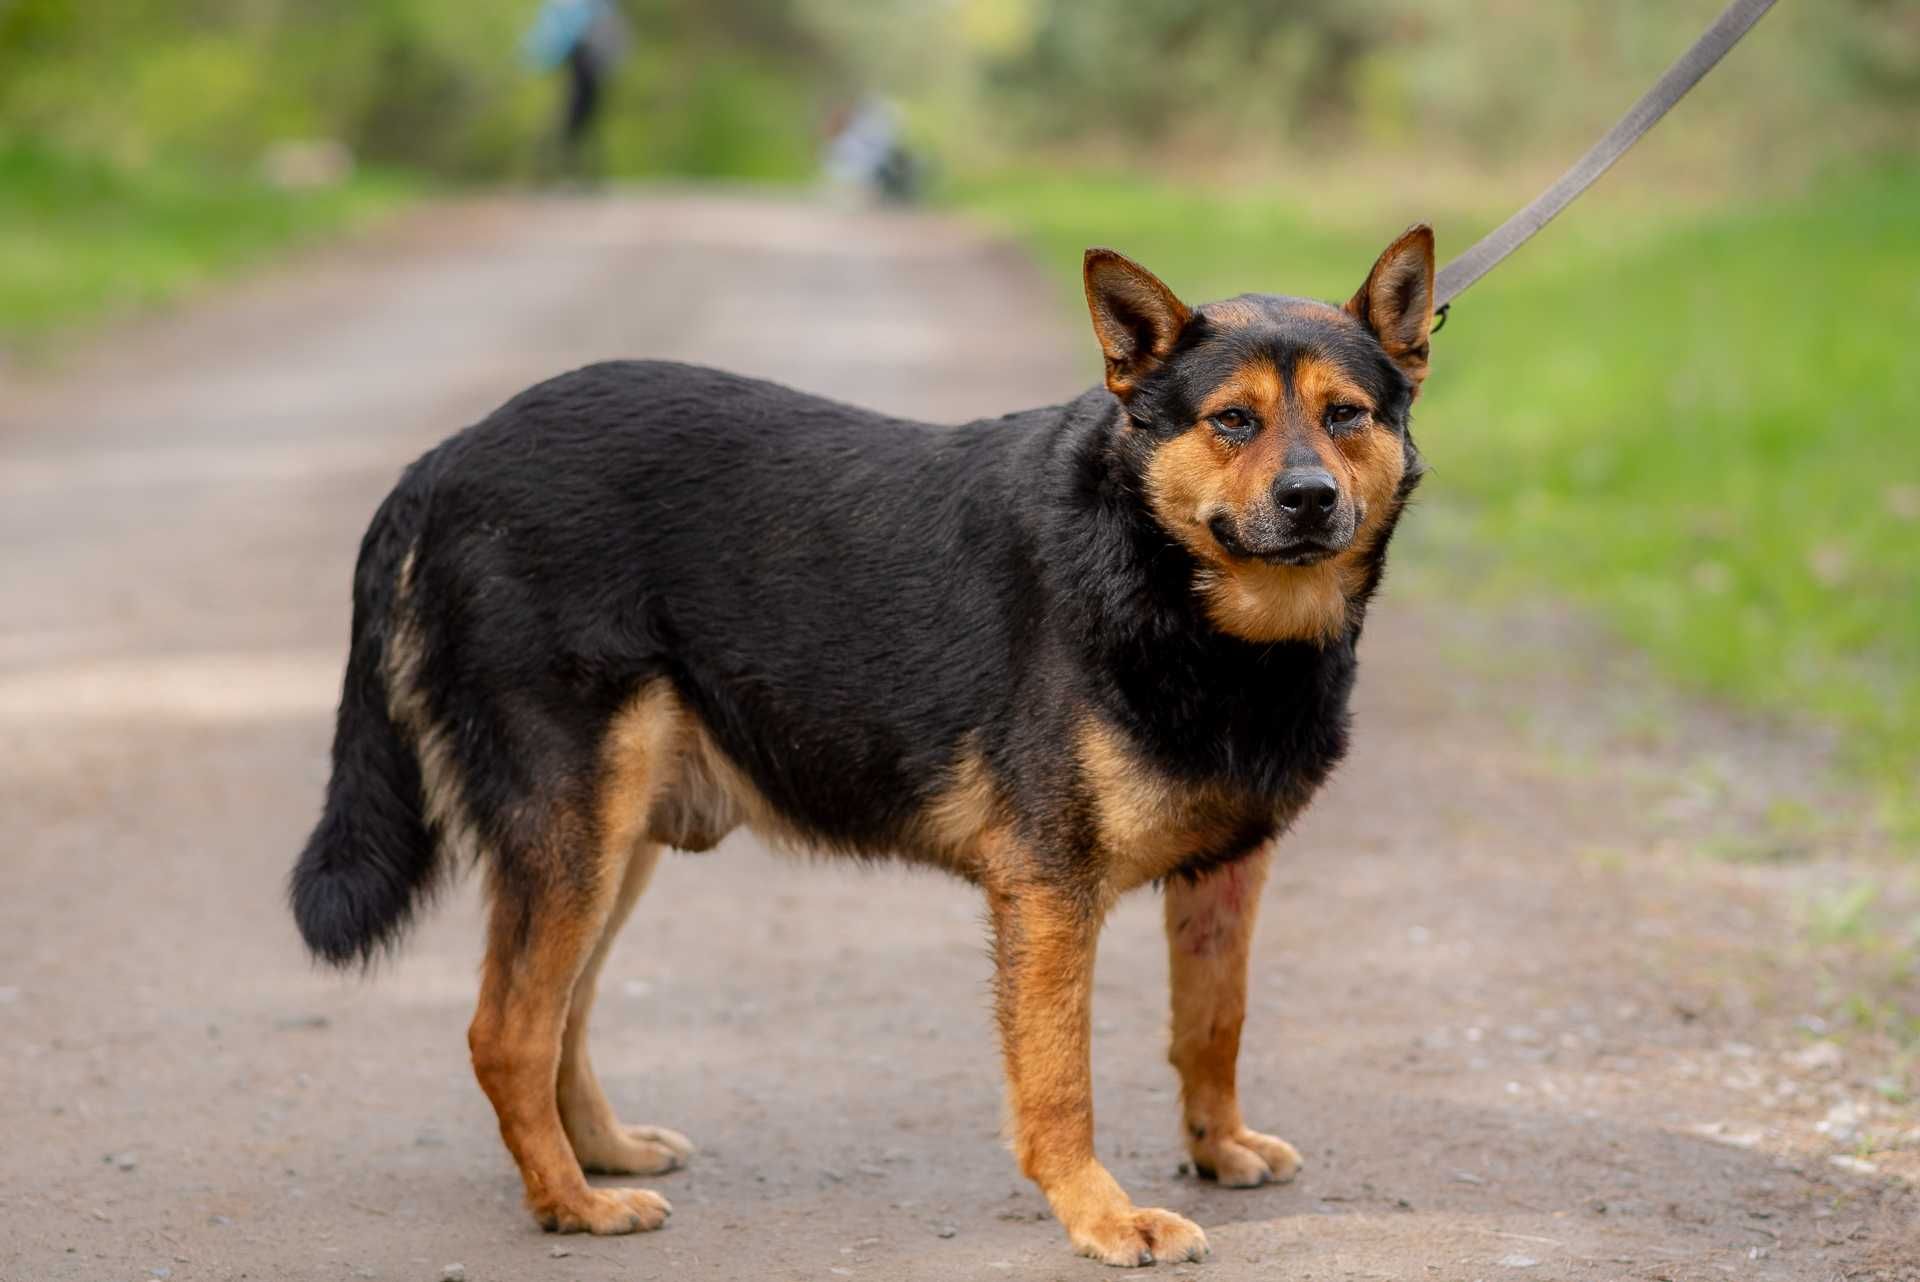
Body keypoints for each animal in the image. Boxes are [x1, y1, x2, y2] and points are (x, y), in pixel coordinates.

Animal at [291, 225, 1436, 1266]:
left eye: (1346, 416)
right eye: (1232, 421)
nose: (1308, 498)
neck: (1168, 581)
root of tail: (447, 458)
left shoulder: (1227, 873)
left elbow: (1213, 1024)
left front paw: (1217, 1146)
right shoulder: (1049, 890)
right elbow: (1060, 1082)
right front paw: (1101, 1215)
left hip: (613, 843)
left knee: (559, 1016)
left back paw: (601, 1154)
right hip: (575, 830)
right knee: (508, 1031)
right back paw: (570, 1204)